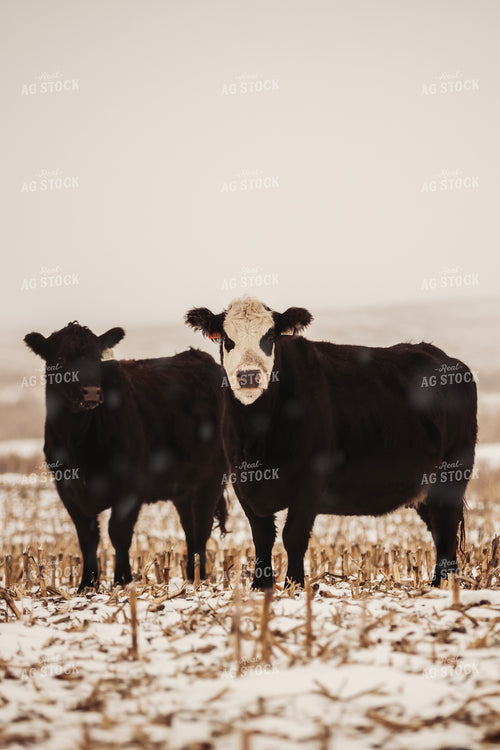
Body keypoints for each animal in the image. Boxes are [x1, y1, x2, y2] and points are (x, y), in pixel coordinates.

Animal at [24, 322, 227, 591]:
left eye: (96, 358)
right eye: (60, 359)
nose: (91, 393)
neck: (78, 442)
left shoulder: (130, 488)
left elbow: (118, 533)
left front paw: (123, 580)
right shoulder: (67, 488)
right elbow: (87, 537)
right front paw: (86, 585)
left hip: (211, 479)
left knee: (202, 529)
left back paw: (199, 578)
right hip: (184, 488)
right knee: (190, 528)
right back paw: (189, 576)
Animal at [185, 297, 477, 589]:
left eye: (269, 336)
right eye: (227, 338)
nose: (248, 376)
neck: (257, 434)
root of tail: (444, 358)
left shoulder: (311, 479)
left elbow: (294, 536)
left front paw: (294, 584)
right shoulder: (242, 481)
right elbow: (262, 537)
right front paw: (260, 585)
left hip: (452, 474)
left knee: (446, 528)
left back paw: (443, 584)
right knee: (439, 528)